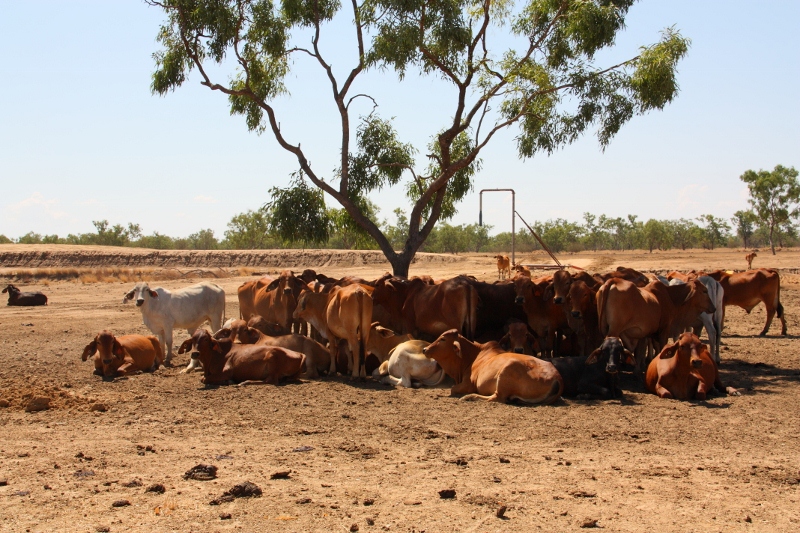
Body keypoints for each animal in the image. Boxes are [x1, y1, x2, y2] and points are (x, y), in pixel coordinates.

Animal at [422, 329, 563, 404]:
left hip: (507, 370)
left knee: (497, 398)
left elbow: (453, 389)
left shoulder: (469, 384)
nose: (424, 349)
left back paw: (470, 397)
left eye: (443, 339)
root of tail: (557, 376)